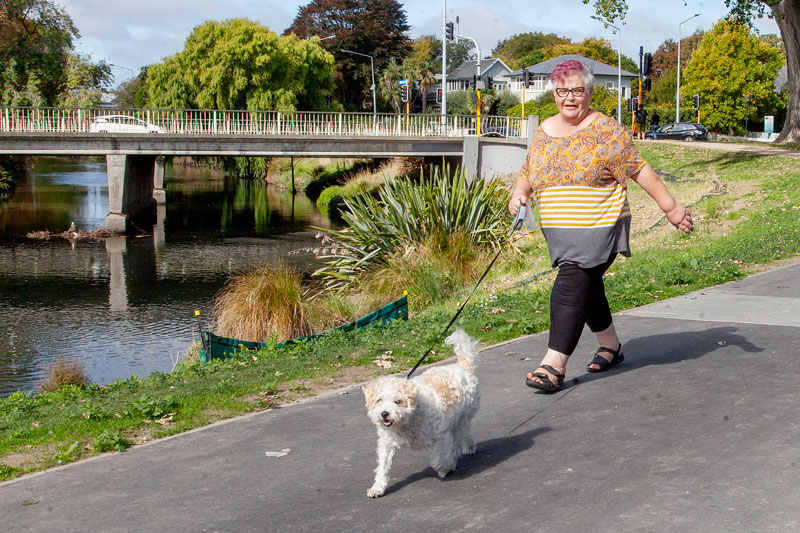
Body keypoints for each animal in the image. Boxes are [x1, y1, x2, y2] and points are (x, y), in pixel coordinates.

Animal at [364, 326, 482, 496]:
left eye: (397, 401)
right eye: (379, 400)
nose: (384, 414)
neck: (407, 420)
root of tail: (463, 365)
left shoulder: (434, 438)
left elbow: (437, 460)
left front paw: (446, 468)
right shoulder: (386, 443)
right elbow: (382, 466)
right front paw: (377, 487)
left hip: (460, 419)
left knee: (457, 440)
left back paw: (457, 455)